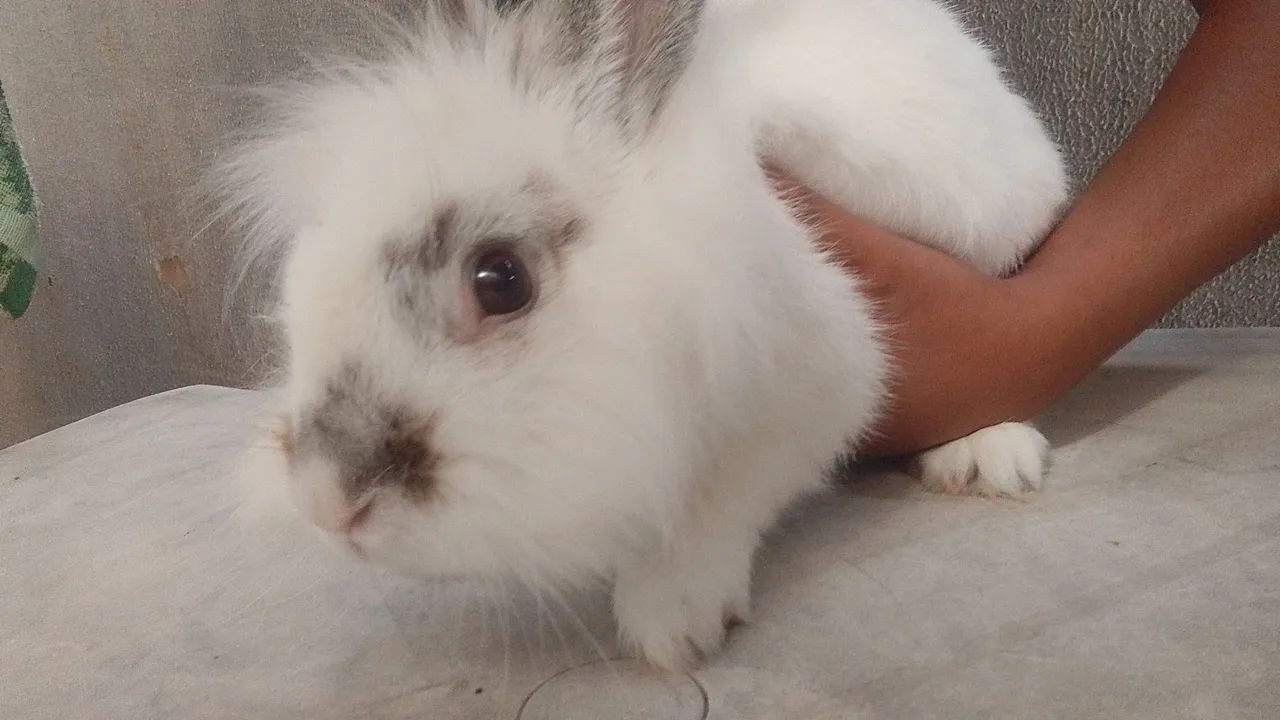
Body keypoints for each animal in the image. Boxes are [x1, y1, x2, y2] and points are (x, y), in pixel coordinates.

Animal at [221, 0, 1067, 672]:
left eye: (500, 280)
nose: (326, 503)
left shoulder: (809, 389)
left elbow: (723, 496)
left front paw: (671, 620)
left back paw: (986, 457)